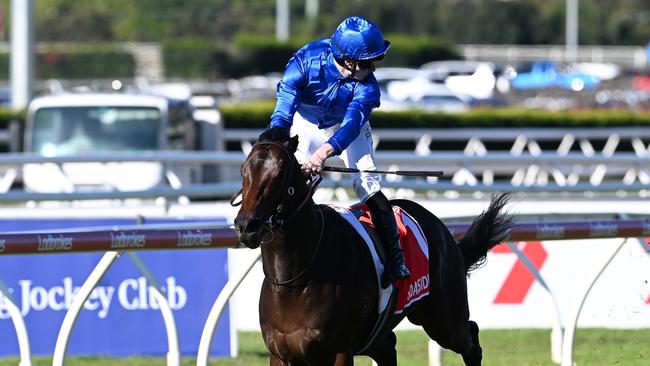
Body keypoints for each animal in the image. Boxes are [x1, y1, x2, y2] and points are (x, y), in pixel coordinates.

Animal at [233, 127, 512, 364]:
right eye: (243, 171)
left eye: (279, 173)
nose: (247, 225)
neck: (293, 280)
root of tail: (442, 229)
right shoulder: (280, 353)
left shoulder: (339, 351)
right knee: (389, 346)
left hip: (444, 319)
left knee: (471, 340)